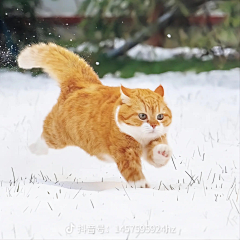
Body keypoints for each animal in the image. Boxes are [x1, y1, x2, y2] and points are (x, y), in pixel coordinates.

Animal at [17, 43, 172, 189]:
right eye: (142, 116)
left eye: (160, 117)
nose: (154, 125)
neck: (141, 139)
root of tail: (83, 84)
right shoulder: (124, 152)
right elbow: (133, 172)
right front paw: (142, 187)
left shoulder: (154, 142)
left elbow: (157, 157)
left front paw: (162, 151)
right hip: (57, 134)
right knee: (44, 138)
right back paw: (34, 148)